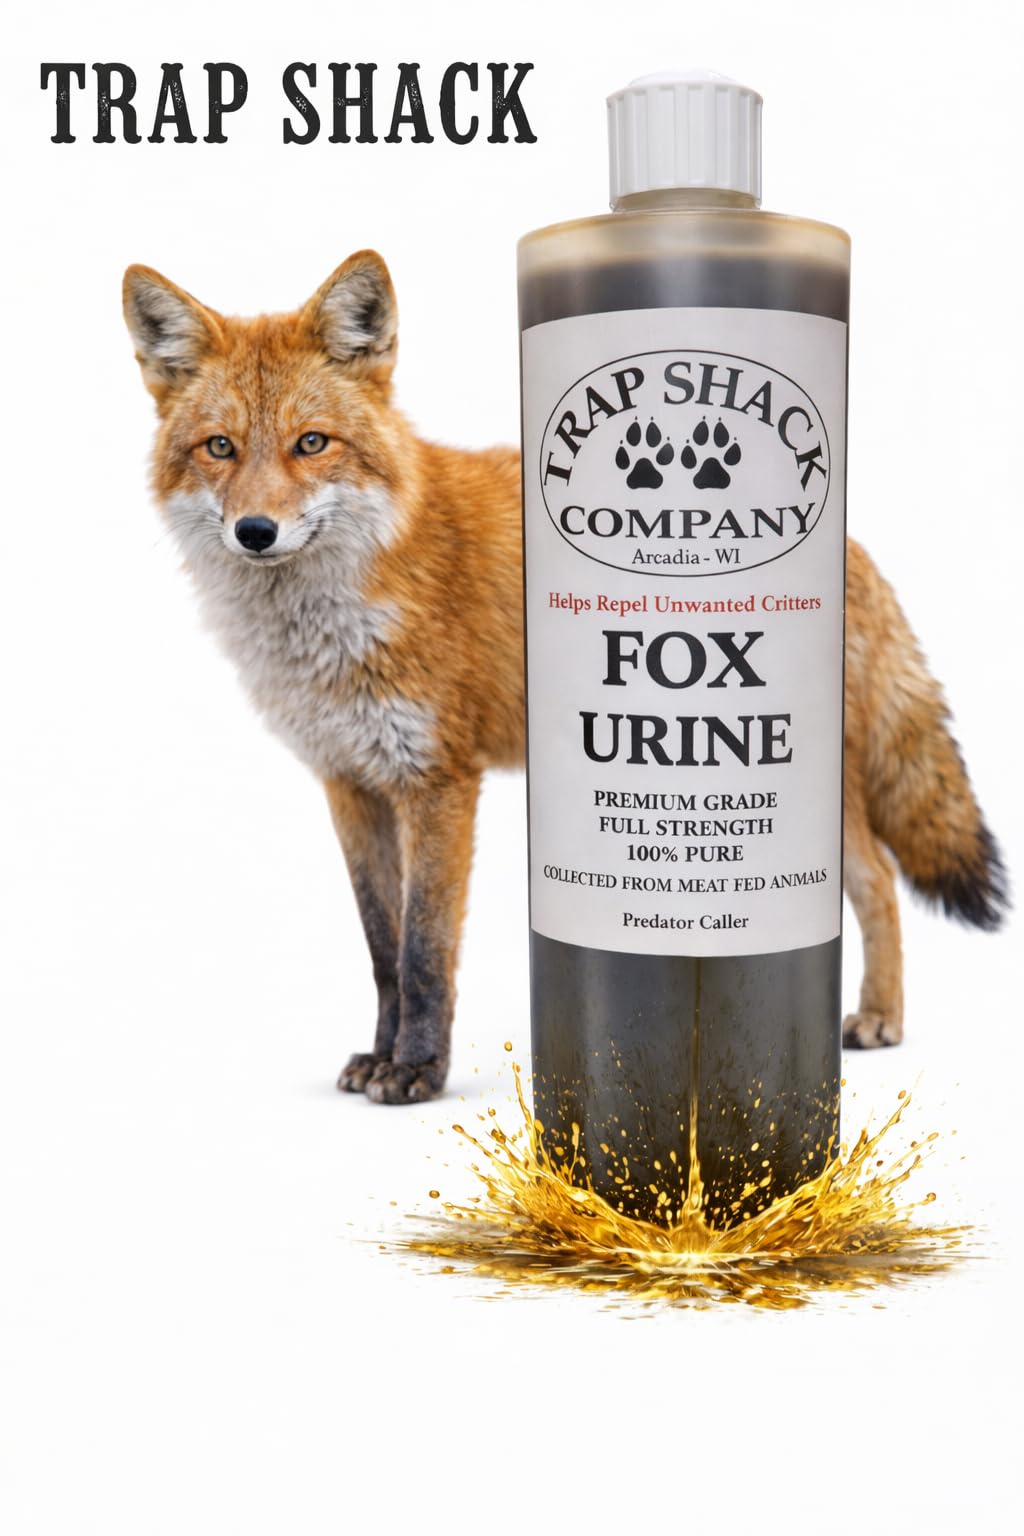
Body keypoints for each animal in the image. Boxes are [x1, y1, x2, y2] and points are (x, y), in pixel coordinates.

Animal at [123, 249, 1007, 1103]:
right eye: (220, 448)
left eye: (311, 443)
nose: (255, 531)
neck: (333, 625)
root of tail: (856, 545)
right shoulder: (351, 782)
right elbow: (382, 949)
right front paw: (381, 1056)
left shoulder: (438, 780)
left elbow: (424, 950)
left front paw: (418, 1071)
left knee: (880, 882)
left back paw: (880, 1017)